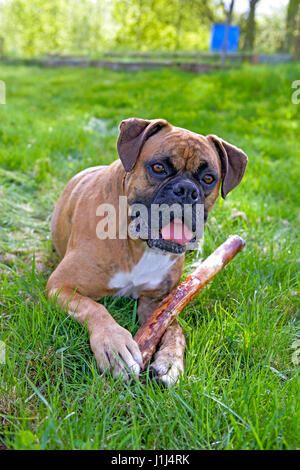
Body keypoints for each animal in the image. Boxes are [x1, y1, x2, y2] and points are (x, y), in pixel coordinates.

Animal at [47, 117, 246, 386]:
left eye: (208, 179)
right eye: (159, 167)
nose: (186, 190)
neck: (139, 244)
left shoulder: (156, 303)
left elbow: (174, 327)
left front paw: (171, 361)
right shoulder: (60, 285)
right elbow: (95, 308)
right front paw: (114, 345)